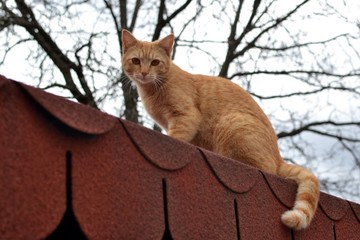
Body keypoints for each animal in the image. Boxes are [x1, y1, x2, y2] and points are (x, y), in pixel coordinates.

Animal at [121, 29, 320, 230]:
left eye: (155, 62)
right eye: (136, 61)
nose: (144, 73)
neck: (152, 89)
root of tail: (279, 157)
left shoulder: (186, 117)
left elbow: (176, 136)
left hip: (232, 125)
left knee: (265, 168)